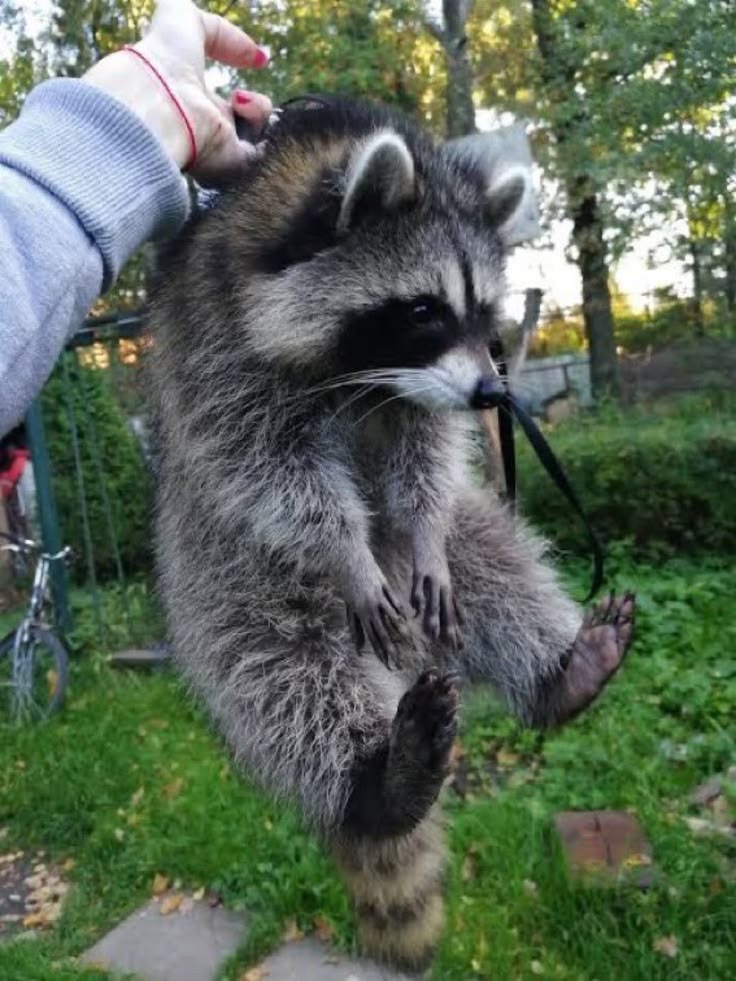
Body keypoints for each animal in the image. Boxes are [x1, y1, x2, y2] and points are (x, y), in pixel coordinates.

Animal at [149, 99, 634, 970]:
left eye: (487, 318)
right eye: (423, 310)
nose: (490, 392)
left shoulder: (417, 398)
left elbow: (428, 458)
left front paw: (426, 527)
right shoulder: (218, 338)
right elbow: (268, 463)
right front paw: (343, 547)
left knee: (486, 550)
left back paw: (563, 667)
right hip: (212, 552)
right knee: (270, 650)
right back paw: (374, 782)